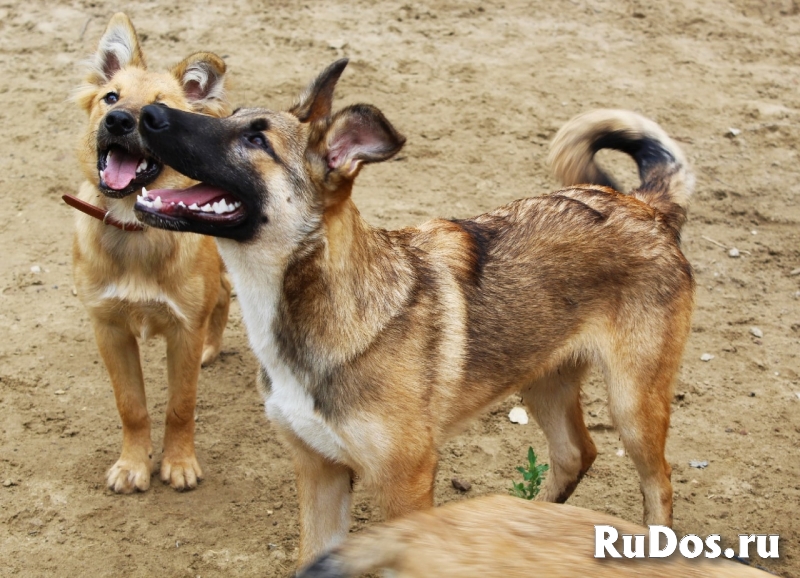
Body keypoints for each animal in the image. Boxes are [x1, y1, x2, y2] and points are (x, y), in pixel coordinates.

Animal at [69, 12, 233, 490]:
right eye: (110, 97)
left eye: (158, 113)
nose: (119, 121)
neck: (135, 225)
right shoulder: (109, 328)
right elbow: (132, 407)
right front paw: (133, 465)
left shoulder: (183, 330)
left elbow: (180, 406)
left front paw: (178, 464)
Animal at [131, 58, 692, 564]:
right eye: (231, 115)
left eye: (256, 140)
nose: (144, 114)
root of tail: (645, 206)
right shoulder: (319, 473)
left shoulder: (407, 485)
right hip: (542, 381)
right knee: (577, 453)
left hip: (633, 406)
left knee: (659, 484)